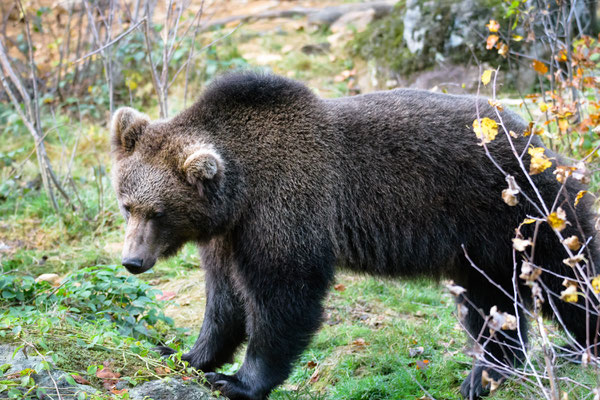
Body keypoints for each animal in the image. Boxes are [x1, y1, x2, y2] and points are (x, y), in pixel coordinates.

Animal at [110, 72, 596, 400]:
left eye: (158, 211)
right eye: (127, 204)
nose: (132, 261)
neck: (239, 194)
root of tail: (536, 138)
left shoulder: (287, 208)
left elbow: (283, 296)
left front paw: (238, 381)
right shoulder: (229, 236)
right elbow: (224, 301)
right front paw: (185, 354)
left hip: (523, 208)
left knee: (568, 277)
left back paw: (572, 348)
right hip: (481, 244)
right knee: (490, 302)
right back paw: (484, 374)